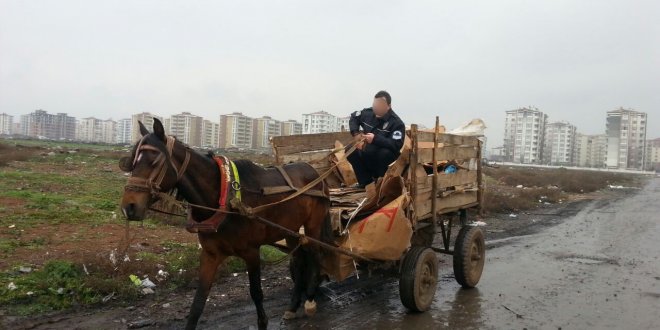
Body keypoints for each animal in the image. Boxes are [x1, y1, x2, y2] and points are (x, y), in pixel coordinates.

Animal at [118, 119, 332, 330]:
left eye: (155, 161)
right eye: (133, 161)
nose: (129, 207)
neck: (225, 198)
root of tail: (314, 172)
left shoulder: (252, 253)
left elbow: (256, 293)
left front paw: (264, 320)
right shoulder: (210, 255)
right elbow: (198, 302)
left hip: (312, 226)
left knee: (316, 255)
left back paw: (310, 300)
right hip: (291, 230)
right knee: (299, 260)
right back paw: (293, 306)